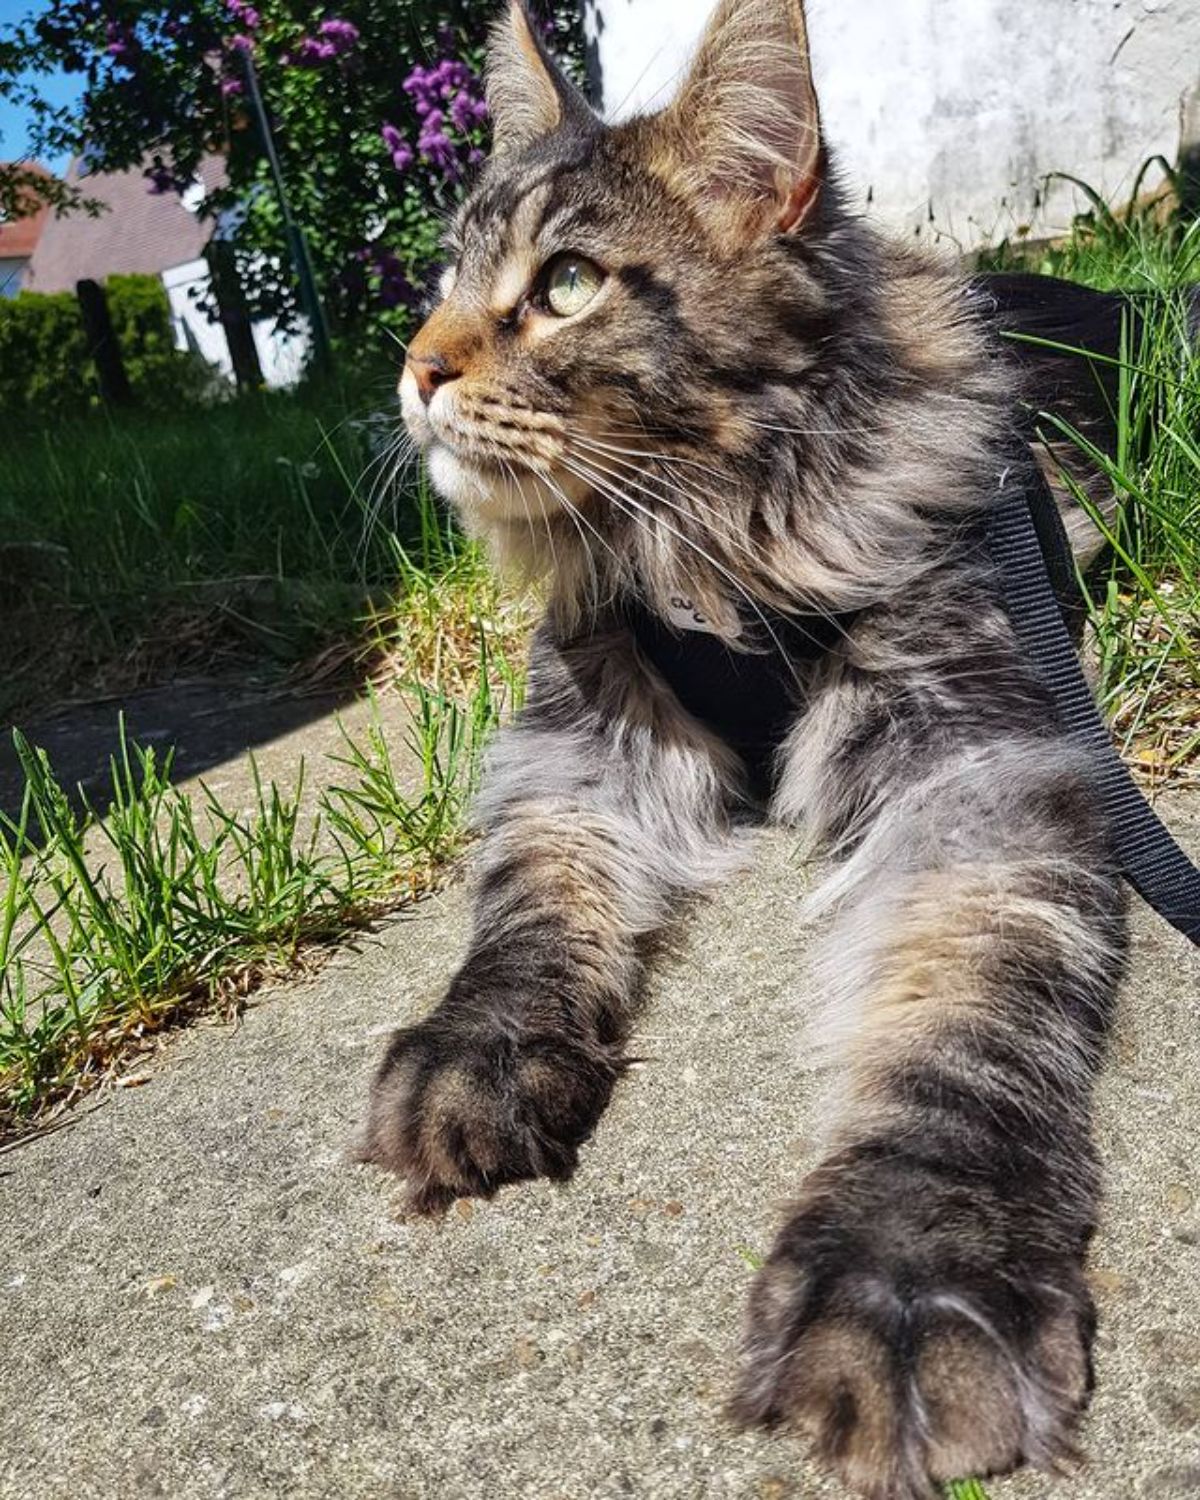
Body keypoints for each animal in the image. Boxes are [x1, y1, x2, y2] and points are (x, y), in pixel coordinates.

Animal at [361, 5, 1128, 1494]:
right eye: (447, 277)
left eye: (568, 283)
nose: (418, 368)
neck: (706, 535)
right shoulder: (577, 752)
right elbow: (525, 911)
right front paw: (479, 1047)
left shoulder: (979, 766)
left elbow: (964, 1017)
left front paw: (908, 1266)